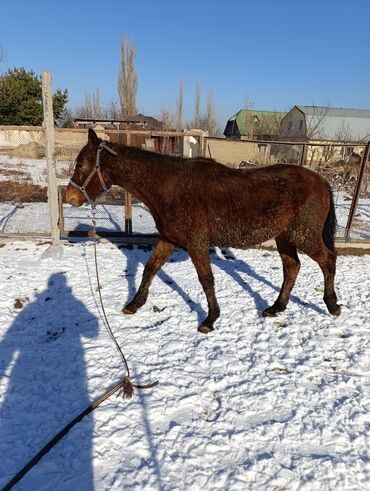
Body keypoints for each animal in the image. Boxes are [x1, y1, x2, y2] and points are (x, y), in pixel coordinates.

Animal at [66, 129, 342, 332]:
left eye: (80, 164)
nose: (70, 197)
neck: (169, 186)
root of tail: (320, 180)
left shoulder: (196, 243)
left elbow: (206, 279)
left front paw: (210, 319)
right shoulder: (168, 240)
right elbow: (150, 269)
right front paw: (134, 304)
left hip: (303, 235)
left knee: (328, 260)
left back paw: (332, 305)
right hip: (284, 237)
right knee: (292, 267)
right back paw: (276, 307)